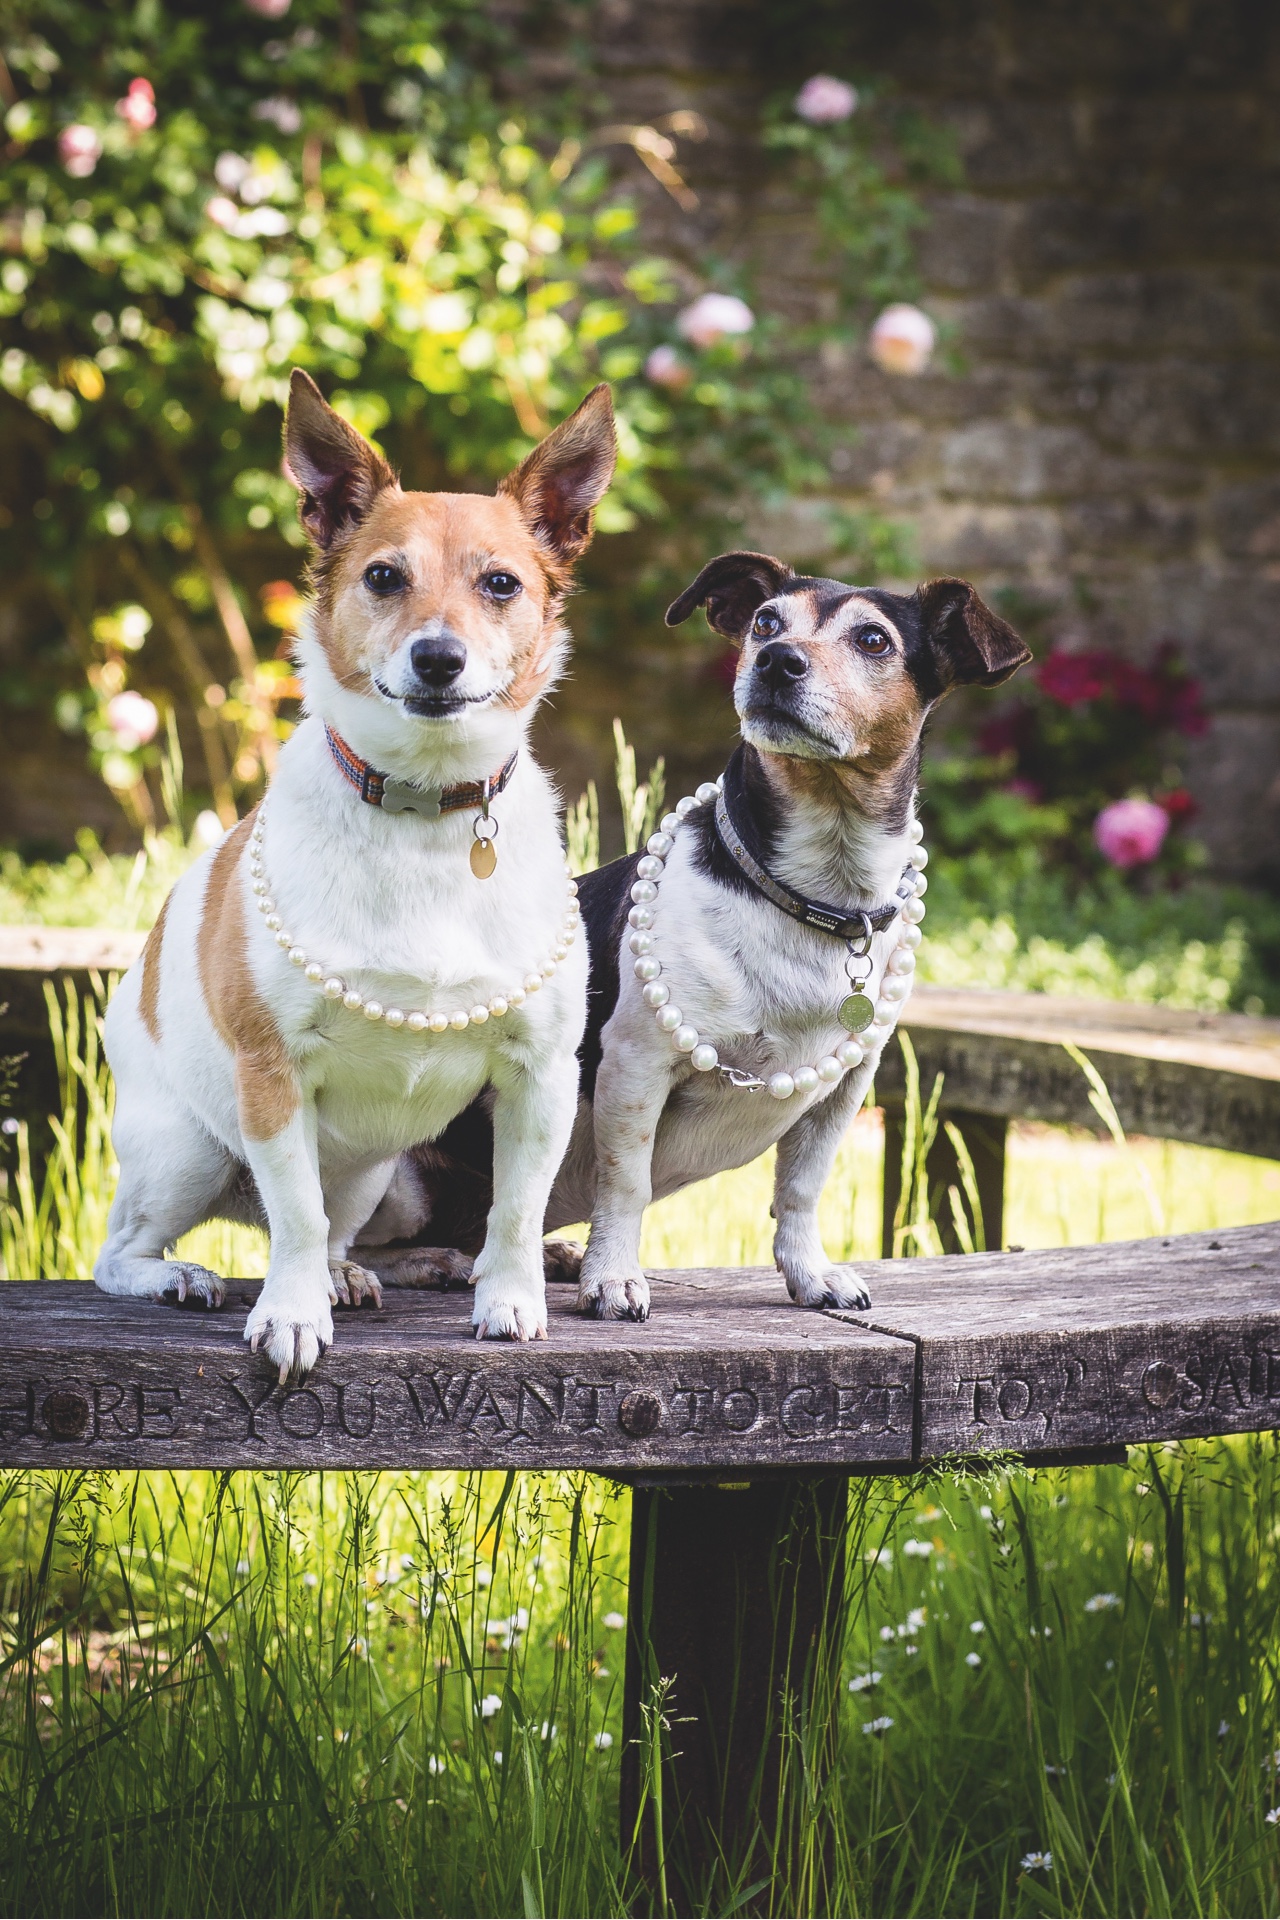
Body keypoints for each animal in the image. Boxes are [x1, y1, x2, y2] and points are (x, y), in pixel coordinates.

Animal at [94, 370, 614, 1367]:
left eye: (501, 584)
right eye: (383, 577)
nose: (438, 657)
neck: (424, 810)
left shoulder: (540, 1076)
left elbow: (517, 1208)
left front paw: (510, 1295)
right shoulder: (271, 1076)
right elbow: (294, 1214)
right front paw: (293, 1314)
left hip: (389, 1177)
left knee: (350, 1233)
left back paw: (396, 1270)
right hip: (189, 1154)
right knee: (133, 1248)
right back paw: (184, 1276)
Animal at [358, 549, 1028, 1313]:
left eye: (873, 640)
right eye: (765, 623)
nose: (777, 661)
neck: (812, 891)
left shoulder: (843, 1090)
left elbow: (801, 1189)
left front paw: (810, 1272)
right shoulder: (637, 1065)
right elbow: (627, 1182)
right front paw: (613, 1277)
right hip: (393, 1176)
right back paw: (403, 1265)